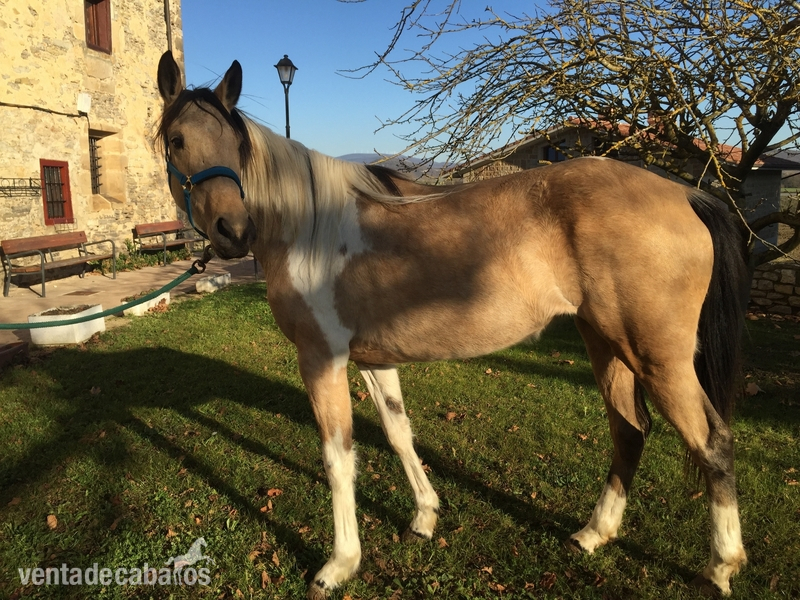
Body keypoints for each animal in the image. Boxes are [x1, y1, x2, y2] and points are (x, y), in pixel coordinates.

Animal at [155, 50, 749, 598]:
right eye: (178, 140)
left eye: (236, 147)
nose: (233, 231)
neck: (310, 227)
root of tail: (686, 195)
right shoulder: (372, 360)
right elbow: (398, 433)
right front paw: (425, 516)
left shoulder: (321, 357)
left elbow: (338, 458)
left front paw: (340, 564)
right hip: (605, 343)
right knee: (629, 430)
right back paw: (594, 533)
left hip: (657, 357)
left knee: (712, 442)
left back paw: (721, 566)